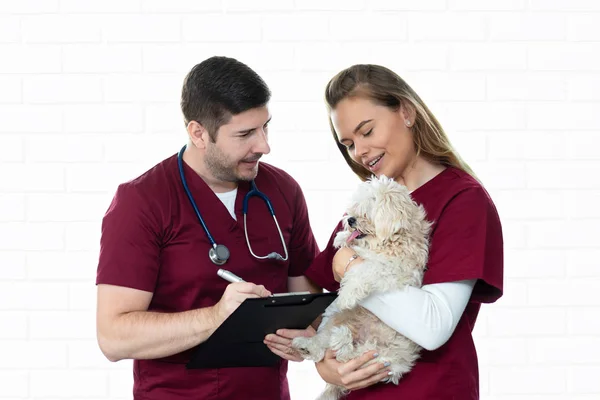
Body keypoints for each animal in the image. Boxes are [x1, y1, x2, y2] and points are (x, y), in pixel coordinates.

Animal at [290, 175, 432, 400]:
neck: (388, 242)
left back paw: (341, 342)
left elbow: (364, 269)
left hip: (384, 359)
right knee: (324, 346)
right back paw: (307, 345)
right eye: (356, 207)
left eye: (370, 208)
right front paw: (341, 238)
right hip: (340, 321)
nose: (350, 219)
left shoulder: (394, 270)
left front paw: (347, 294)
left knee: (345, 357)